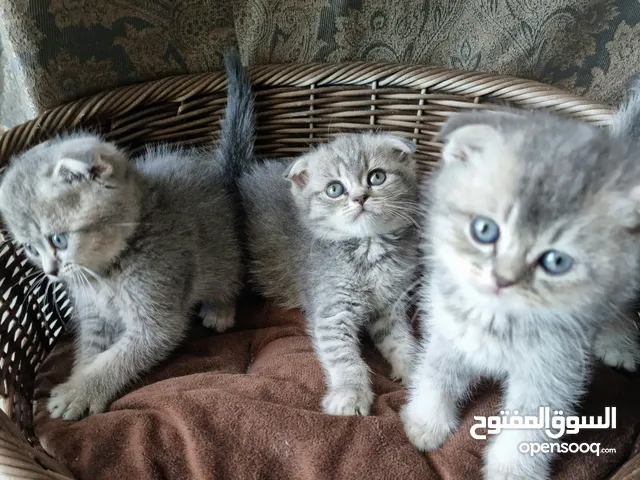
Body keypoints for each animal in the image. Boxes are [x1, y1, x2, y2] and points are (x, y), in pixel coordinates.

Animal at [0, 51, 255, 420]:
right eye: (31, 249)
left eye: (59, 240)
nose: (51, 272)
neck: (104, 274)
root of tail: (217, 173)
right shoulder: (93, 316)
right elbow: (90, 353)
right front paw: (78, 380)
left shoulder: (157, 317)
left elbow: (117, 359)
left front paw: (79, 393)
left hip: (221, 254)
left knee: (228, 277)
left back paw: (220, 309)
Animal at [240, 134, 420, 416]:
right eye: (334, 189)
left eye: (377, 177)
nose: (360, 197)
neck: (368, 251)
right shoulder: (332, 311)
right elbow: (343, 357)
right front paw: (351, 394)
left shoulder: (390, 308)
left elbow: (402, 341)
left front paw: (417, 373)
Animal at [402, 109, 640, 480]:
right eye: (484, 230)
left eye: (556, 261)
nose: (503, 279)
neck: (497, 319)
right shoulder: (447, 330)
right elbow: (437, 374)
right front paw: (427, 422)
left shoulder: (554, 369)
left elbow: (530, 424)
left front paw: (513, 469)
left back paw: (619, 344)